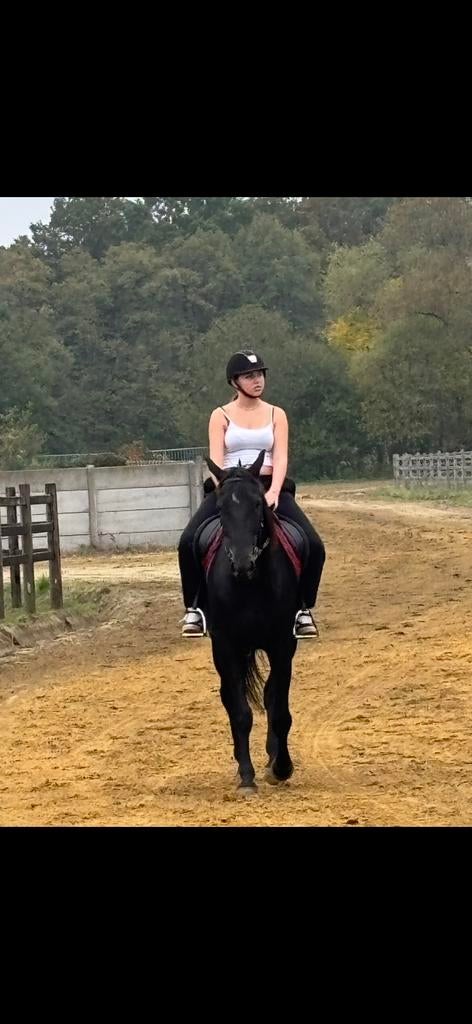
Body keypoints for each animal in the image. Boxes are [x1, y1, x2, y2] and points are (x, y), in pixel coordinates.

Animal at [201, 450, 306, 790]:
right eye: (221, 507)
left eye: (258, 504)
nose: (243, 562)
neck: (252, 584)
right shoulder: (226, 645)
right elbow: (240, 712)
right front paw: (246, 776)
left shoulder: (282, 644)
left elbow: (279, 708)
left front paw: (281, 767)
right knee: (229, 698)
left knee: (271, 695)